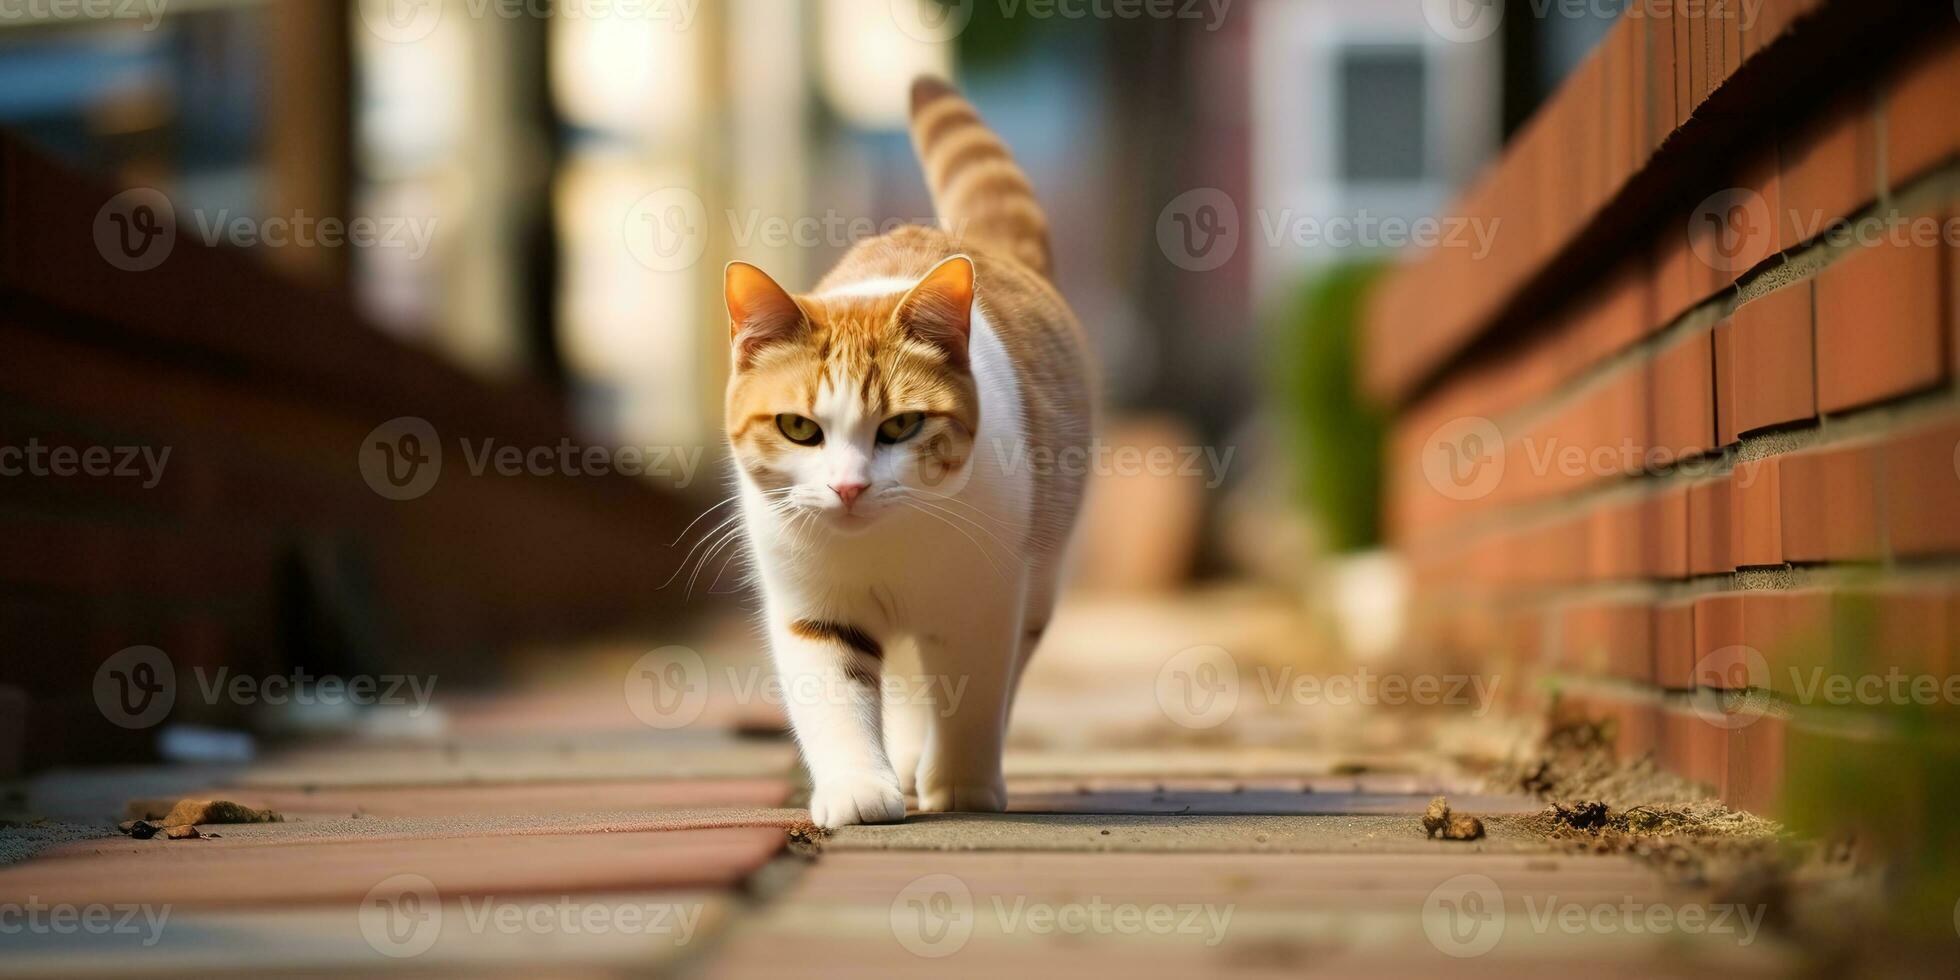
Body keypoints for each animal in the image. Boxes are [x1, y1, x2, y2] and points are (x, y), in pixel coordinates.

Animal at [725, 78, 1097, 827]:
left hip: (1038, 584)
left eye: (900, 427)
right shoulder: (813, 608)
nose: (848, 488)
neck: (885, 546)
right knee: (897, 686)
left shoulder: (984, 603)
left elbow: (972, 700)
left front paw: (962, 784)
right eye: (799, 427)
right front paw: (859, 788)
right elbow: (837, 698)